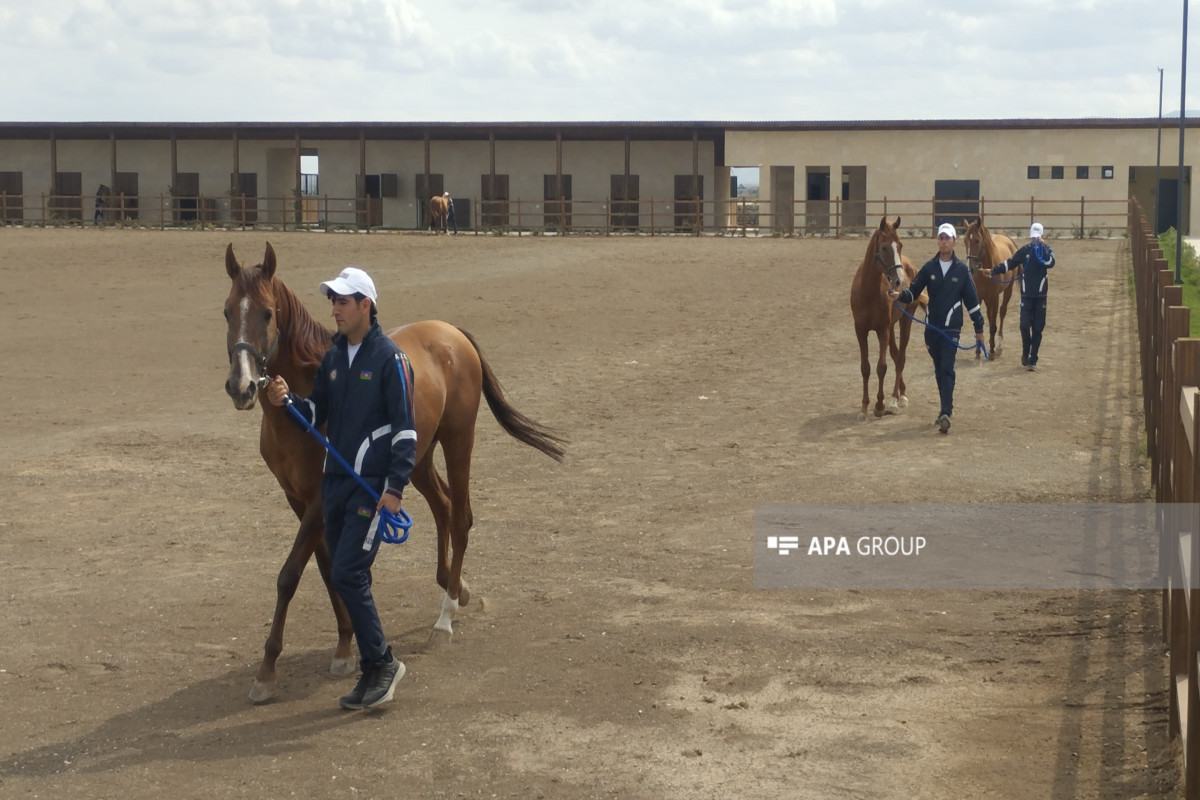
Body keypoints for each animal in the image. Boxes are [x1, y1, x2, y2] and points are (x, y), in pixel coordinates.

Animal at [223, 242, 564, 700]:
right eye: (227, 311)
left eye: (266, 313)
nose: (241, 386)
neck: (301, 411)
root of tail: (451, 332)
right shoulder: (296, 497)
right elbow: (327, 569)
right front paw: (345, 645)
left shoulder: (319, 497)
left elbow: (291, 575)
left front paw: (267, 671)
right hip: (416, 459)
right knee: (442, 506)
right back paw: (456, 585)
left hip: (458, 441)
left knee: (460, 516)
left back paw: (445, 618)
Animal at [849, 217, 921, 419]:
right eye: (884, 248)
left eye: (900, 245)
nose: (899, 281)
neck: (868, 292)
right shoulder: (860, 330)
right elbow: (865, 367)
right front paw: (864, 408)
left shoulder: (882, 330)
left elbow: (881, 367)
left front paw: (879, 405)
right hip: (892, 326)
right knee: (896, 355)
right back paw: (900, 393)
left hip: (905, 320)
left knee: (901, 358)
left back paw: (896, 400)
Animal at [960, 215, 1017, 359]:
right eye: (965, 241)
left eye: (977, 240)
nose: (970, 269)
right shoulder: (978, 296)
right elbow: (980, 322)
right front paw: (978, 352)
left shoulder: (995, 296)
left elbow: (993, 325)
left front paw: (991, 351)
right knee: (989, 314)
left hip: (1008, 290)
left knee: (1002, 312)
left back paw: (998, 345)